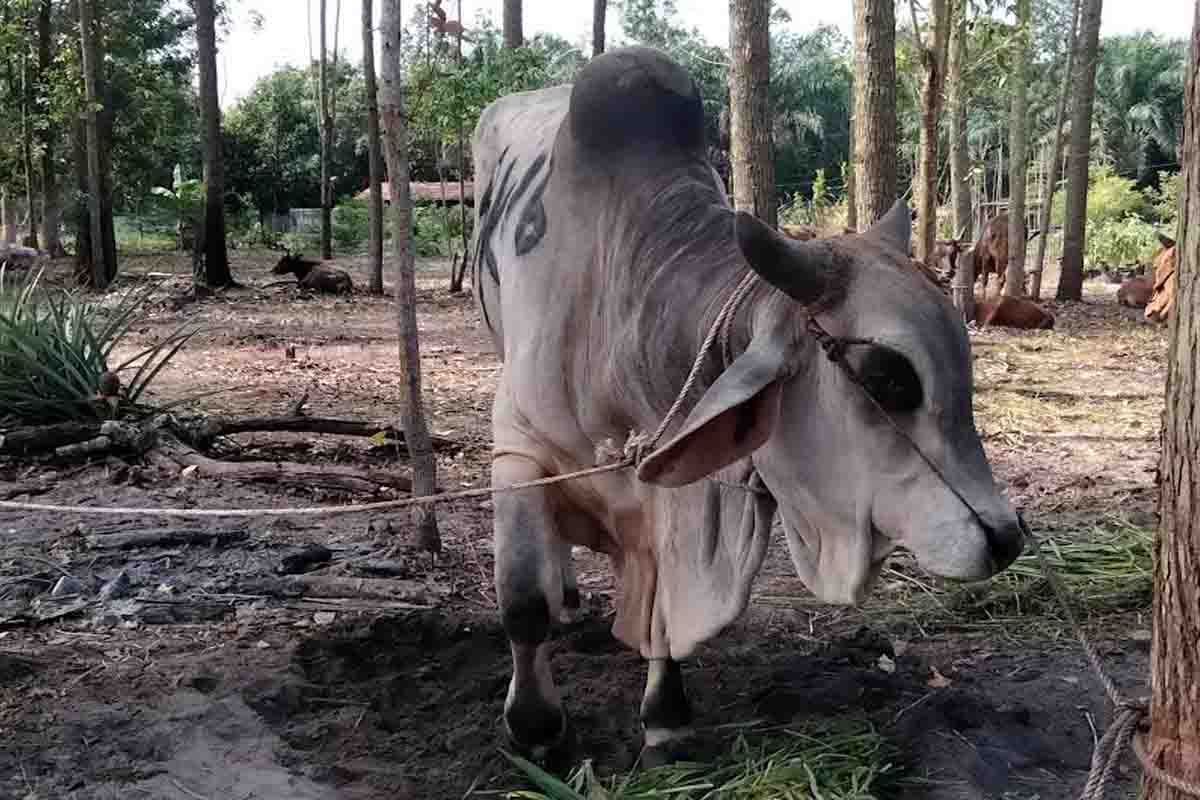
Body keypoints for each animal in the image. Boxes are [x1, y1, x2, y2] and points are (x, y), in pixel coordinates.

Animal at [468, 47, 1022, 767]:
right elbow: (523, 603)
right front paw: (537, 730)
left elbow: (664, 609)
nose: (1006, 537)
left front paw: (666, 719)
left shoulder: (674, 481)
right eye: (886, 378)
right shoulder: (517, 448)